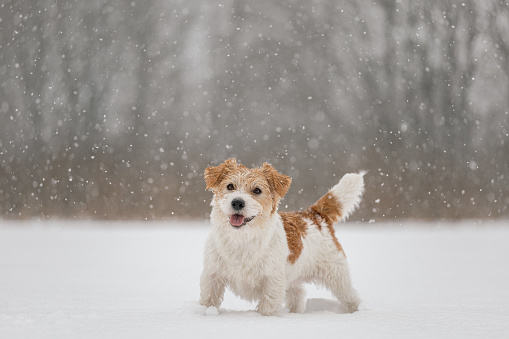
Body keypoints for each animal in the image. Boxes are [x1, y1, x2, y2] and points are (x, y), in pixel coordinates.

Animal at [199, 159, 366, 316]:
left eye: (257, 190)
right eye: (230, 186)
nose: (237, 202)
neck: (242, 238)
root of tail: (315, 215)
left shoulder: (272, 280)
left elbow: (267, 306)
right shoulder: (212, 276)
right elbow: (208, 299)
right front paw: (206, 313)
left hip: (337, 274)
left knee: (351, 296)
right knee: (298, 295)